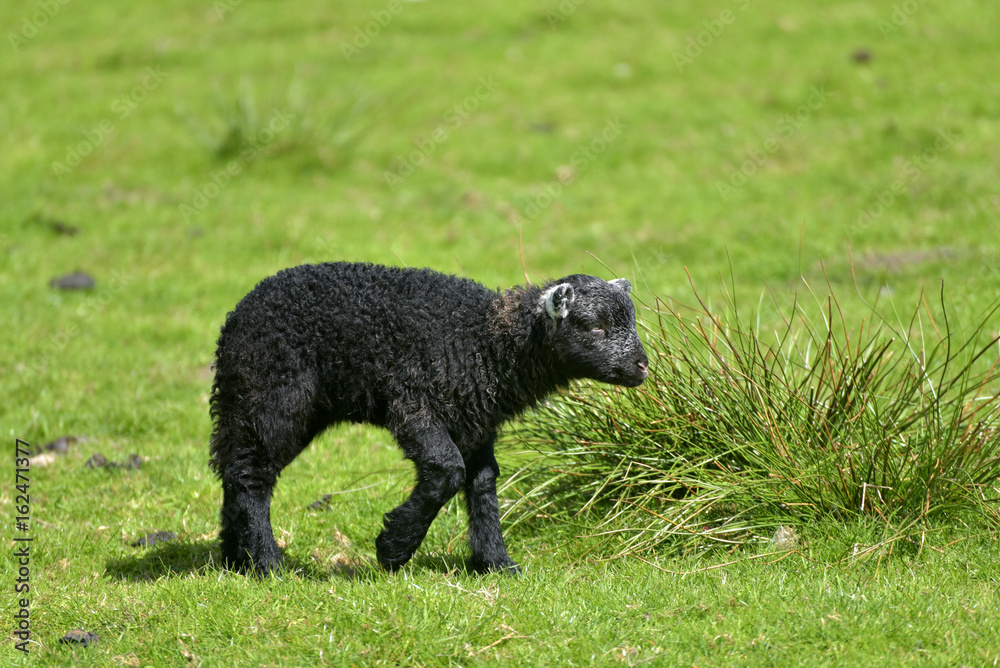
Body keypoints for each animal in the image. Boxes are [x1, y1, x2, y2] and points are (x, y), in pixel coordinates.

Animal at [209, 262, 648, 576]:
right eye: (595, 326)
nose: (643, 366)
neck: (485, 342)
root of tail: (235, 320)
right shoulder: (414, 403)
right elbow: (446, 469)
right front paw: (392, 549)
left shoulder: (475, 424)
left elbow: (482, 484)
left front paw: (496, 564)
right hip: (273, 397)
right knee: (252, 477)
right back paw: (268, 564)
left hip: (269, 407)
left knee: (235, 470)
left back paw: (236, 559)